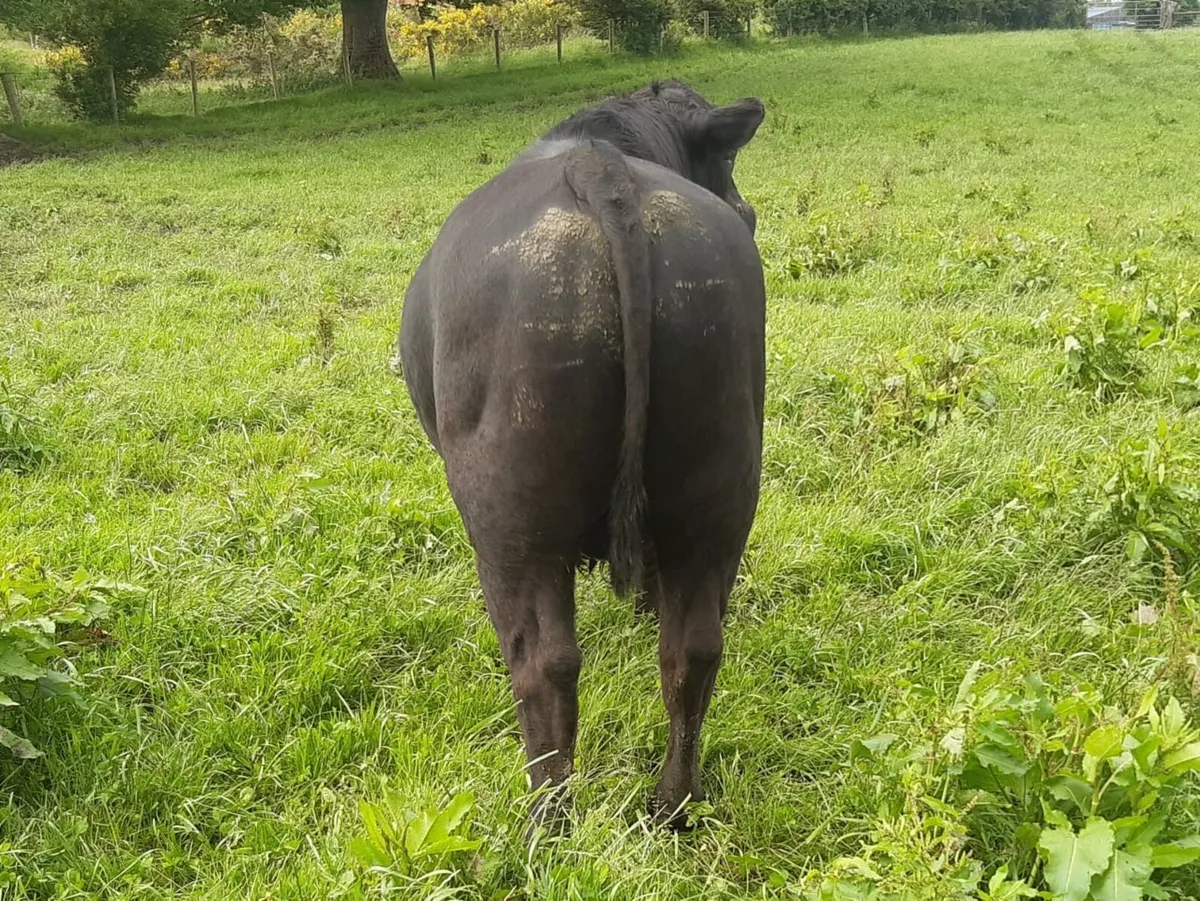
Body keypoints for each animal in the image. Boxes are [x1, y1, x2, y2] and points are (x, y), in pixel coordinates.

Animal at [397, 80, 766, 834]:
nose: (748, 207)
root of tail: (600, 172)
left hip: (512, 521)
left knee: (544, 662)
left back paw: (548, 819)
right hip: (717, 487)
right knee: (692, 650)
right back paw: (673, 804)